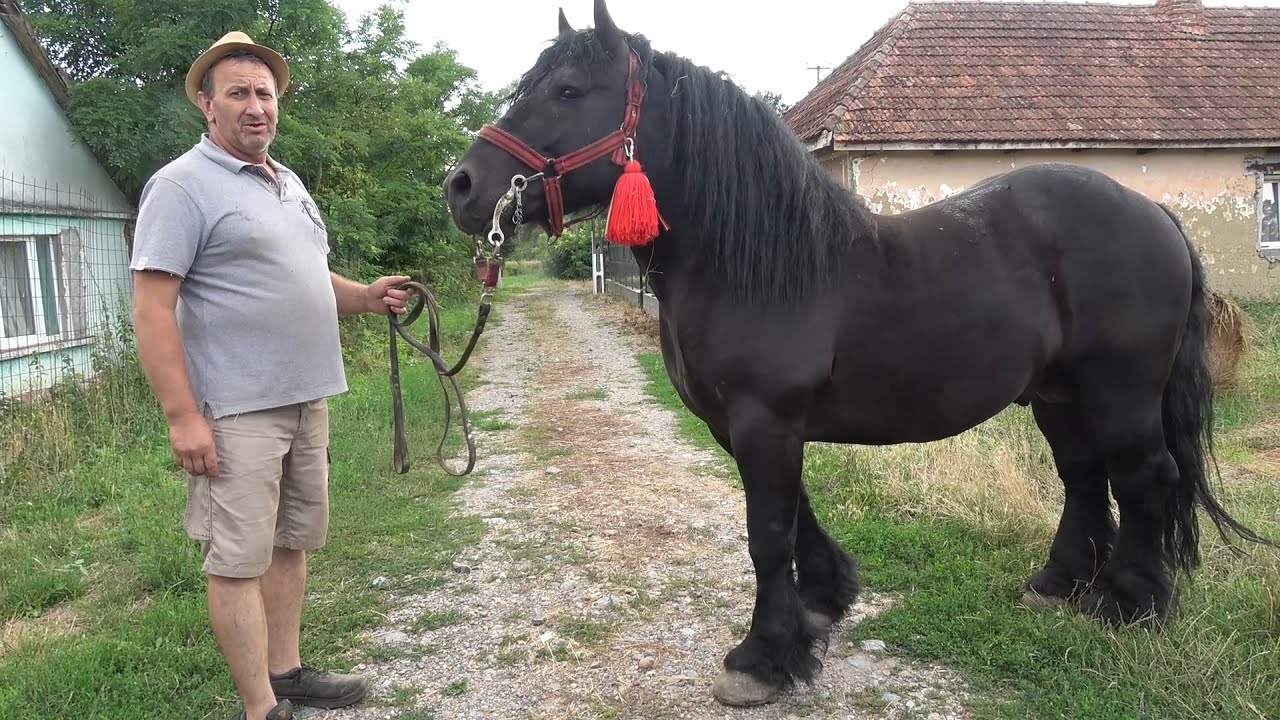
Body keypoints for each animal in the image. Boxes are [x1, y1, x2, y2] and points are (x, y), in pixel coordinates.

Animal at [443, 0, 1274, 706]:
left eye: (568, 89)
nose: (462, 186)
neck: (750, 262)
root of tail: (1152, 211)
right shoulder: (740, 425)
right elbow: (792, 517)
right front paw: (823, 602)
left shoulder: (765, 421)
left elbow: (766, 533)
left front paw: (763, 659)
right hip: (1058, 394)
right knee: (1082, 475)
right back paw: (1057, 583)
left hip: (1122, 392)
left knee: (1145, 477)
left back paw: (1132, 602)